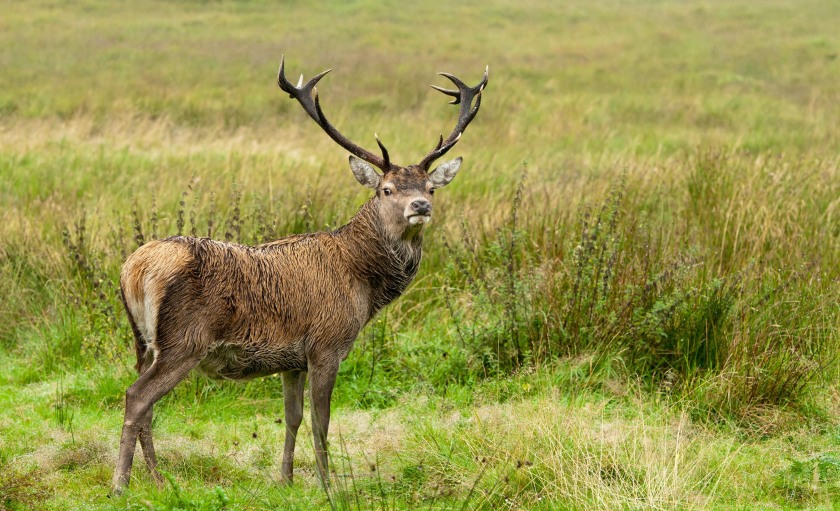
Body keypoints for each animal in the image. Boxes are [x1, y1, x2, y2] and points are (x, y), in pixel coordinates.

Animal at [110, 56, 488, 494]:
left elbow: (292, 418)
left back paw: (157, 479)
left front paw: (286, 479)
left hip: (143, 342)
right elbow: (321, 422)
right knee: (137, 398)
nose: (421, 207)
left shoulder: (291, 359)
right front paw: (329, 485)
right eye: (387, 189)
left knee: (147, 405)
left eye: (431, 187)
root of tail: (134, 268)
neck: (364, 284)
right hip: (183, 340)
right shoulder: (327, 344)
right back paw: (121, 484)